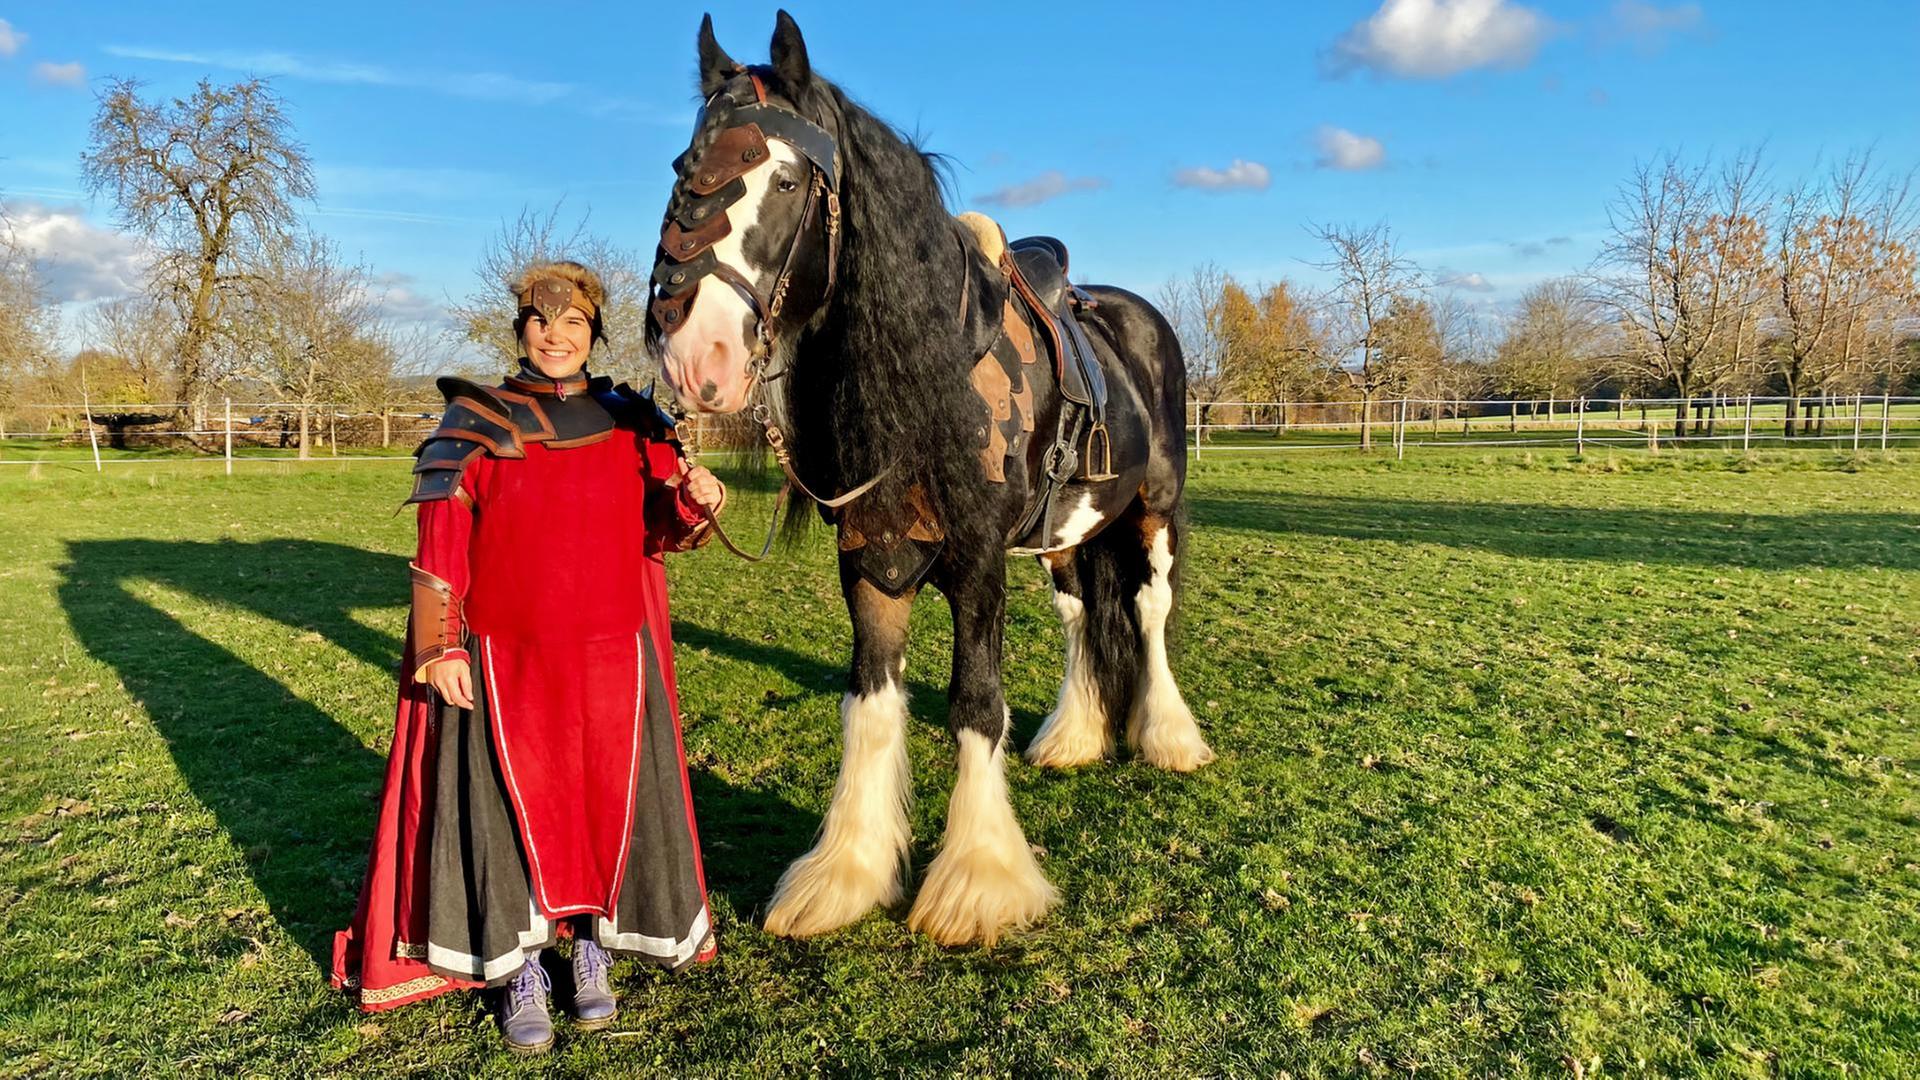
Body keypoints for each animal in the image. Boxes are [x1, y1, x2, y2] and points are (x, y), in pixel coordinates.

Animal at [647, 11, 1214, 947]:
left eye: (787, 178)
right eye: (682, 169)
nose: (697, 356)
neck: (927, 374)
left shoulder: (978, 563)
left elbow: (974, 702)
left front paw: (979, 880)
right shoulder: (871, 558)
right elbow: (872, 704)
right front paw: (846, 873)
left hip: (1155, 511)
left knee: (1150, 608)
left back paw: (1169, 736)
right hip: (1066, 534)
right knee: (1080, 615)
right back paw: (1076, 734)